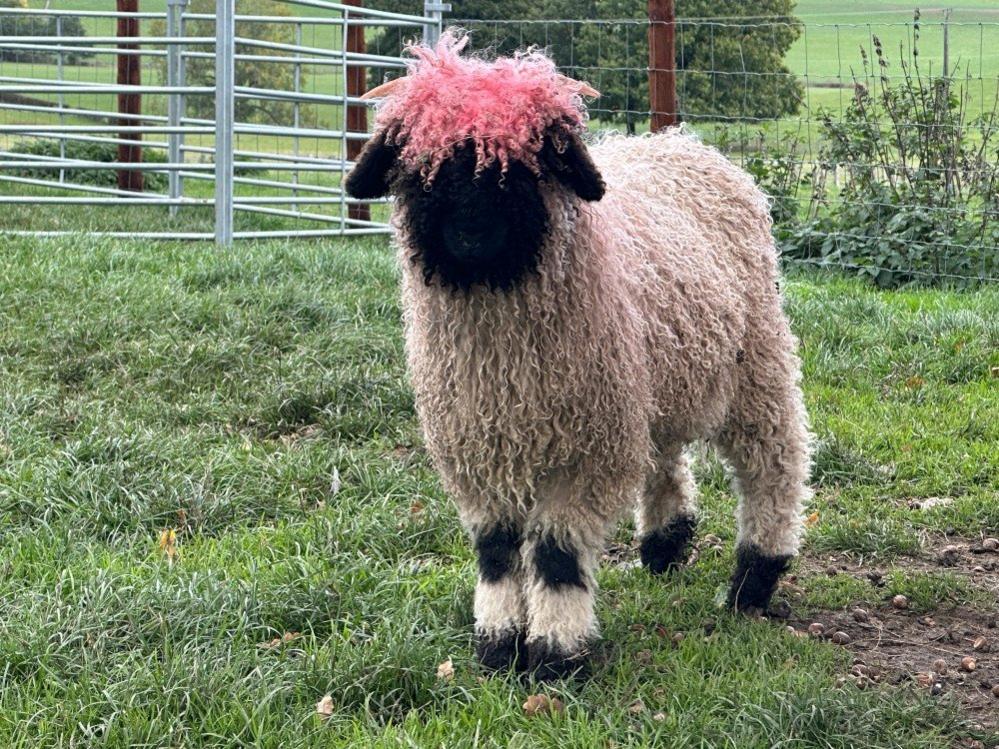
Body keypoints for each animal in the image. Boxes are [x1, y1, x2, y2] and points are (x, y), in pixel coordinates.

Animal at [344, 32, 812, 680]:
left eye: (526, 163)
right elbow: (495, 550)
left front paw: (554, 655)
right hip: (651, 380)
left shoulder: (584, 453)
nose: (470, 235)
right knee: (664, 454)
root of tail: (682, 144)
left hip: (755, 361)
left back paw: (755, 577)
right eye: (421, 166)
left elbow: (557, 556)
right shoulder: (478, 447)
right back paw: (664, 546)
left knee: (774, 460)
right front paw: (497, 643)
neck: (504, 356)